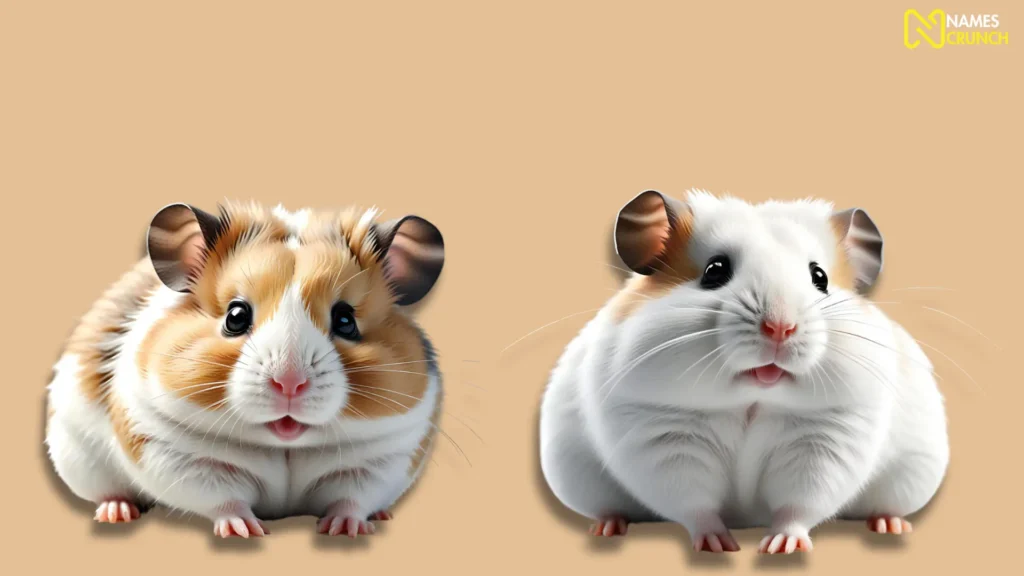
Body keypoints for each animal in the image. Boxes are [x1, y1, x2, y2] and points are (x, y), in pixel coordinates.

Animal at [45, 200, 446, 538]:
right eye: (236, 316)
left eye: (346, 320)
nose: (289, 384)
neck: (286, 445)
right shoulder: (171, 453)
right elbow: (222, 498)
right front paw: (245, 530)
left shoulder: (388, 457)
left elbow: (353, 497)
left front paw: (345, 529)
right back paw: (116, 512)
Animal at [539, 190, 949, 554]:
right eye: (714, 270)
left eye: (820, 278)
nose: (780, 329)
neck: (753, 399)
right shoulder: (663, 438)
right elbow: (695, 504)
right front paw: (719, 545)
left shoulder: (824, 439)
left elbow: (799, 504)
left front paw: (782, 547)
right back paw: (607, 526)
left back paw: (890, 524)